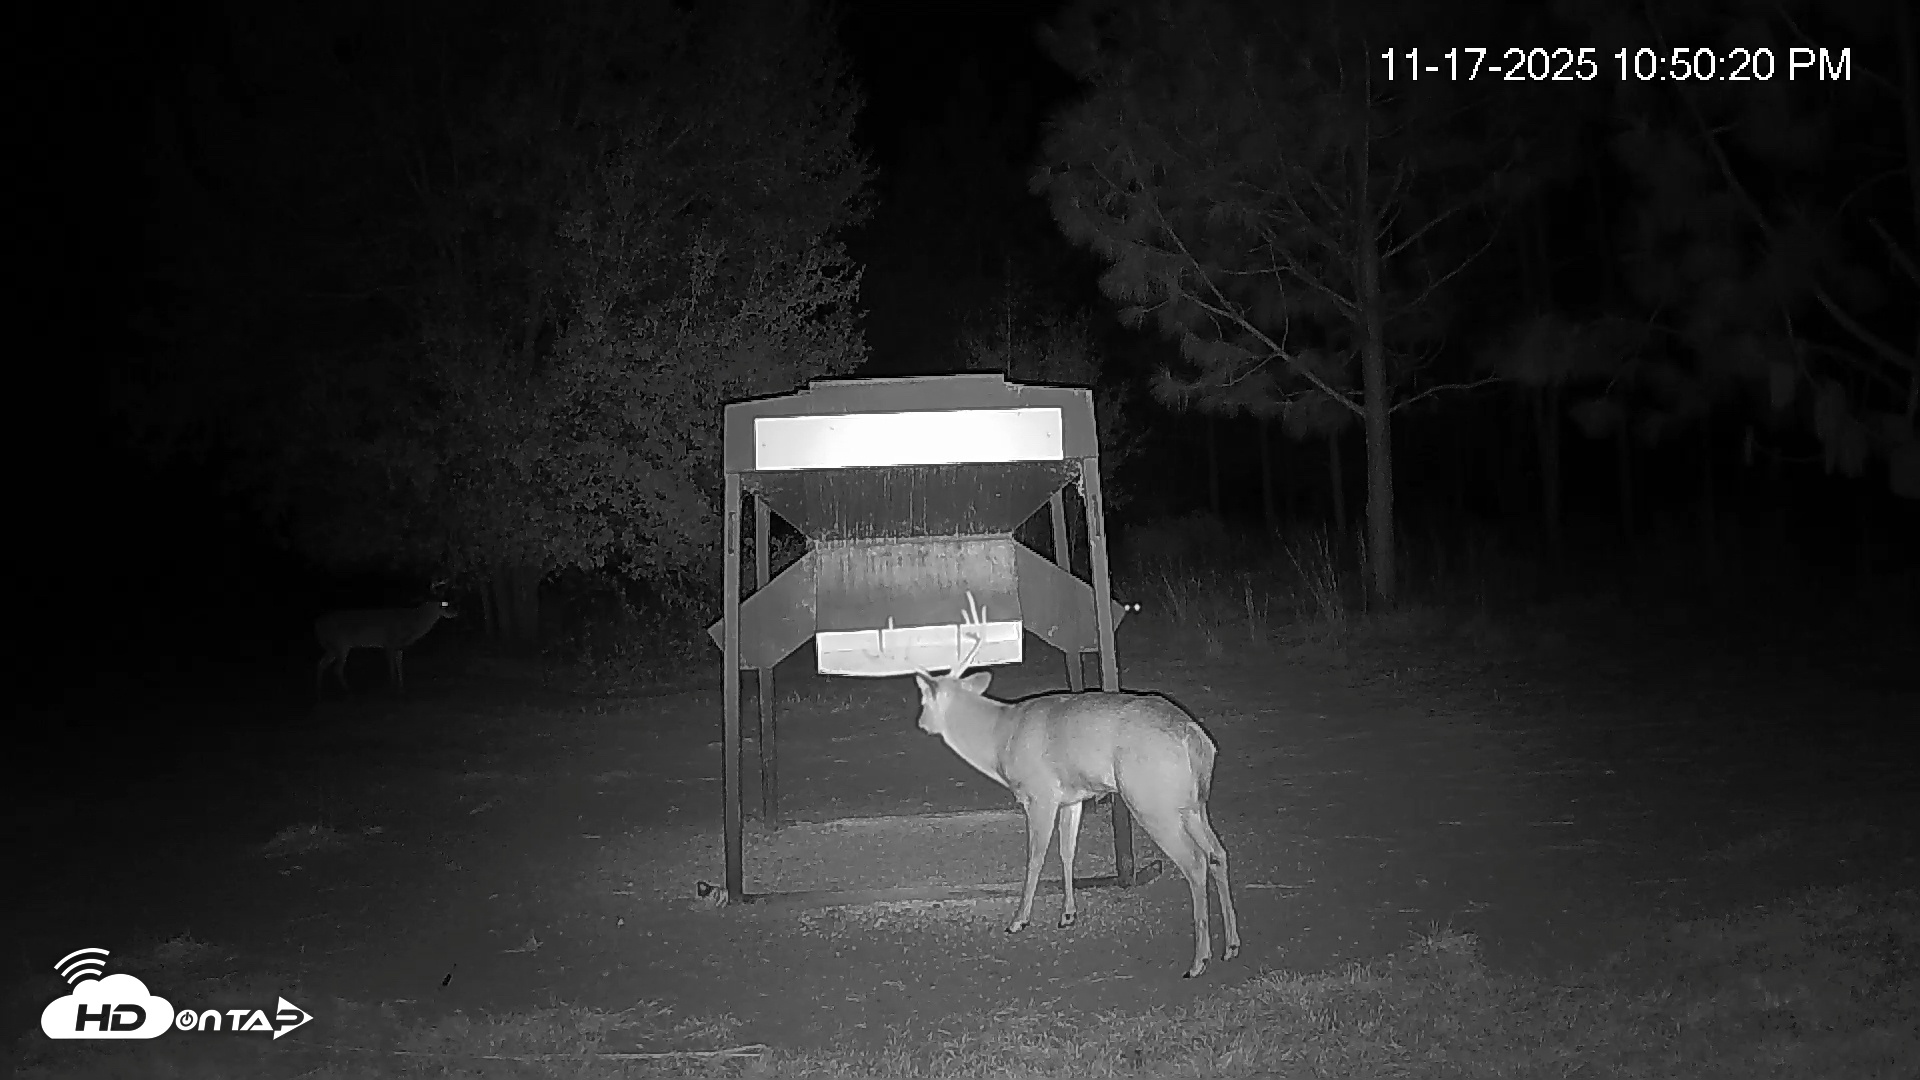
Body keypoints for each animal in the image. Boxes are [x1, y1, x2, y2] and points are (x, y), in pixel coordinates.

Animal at [313, 583, 456, 694]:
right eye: (443, 605)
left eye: (447, 602)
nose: (455, 612)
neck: (410, 624)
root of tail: (318, 625)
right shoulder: (389, 643)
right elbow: (391, 666)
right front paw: (392, 687)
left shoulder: (398, 646)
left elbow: (399, 665)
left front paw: (401, 687)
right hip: (340, 644)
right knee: (336, 668)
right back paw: (348, 691)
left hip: (332, 647)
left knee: (321, 664)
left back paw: (320, 691)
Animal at [909, 593, 1240, 978]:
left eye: (924, 700)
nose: (921, 723)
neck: (999, 738)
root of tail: (1195, 738)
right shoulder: (1071, 798)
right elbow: (1067, 852)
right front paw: (1067, 914)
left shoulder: (1039, 794)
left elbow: (1035, 856)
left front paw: (1019, 920)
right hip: (1192, 803)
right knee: (1218, 854)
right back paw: (1232, 946)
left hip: (1152, 802)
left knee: (1195, 863)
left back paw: (1198, 960)